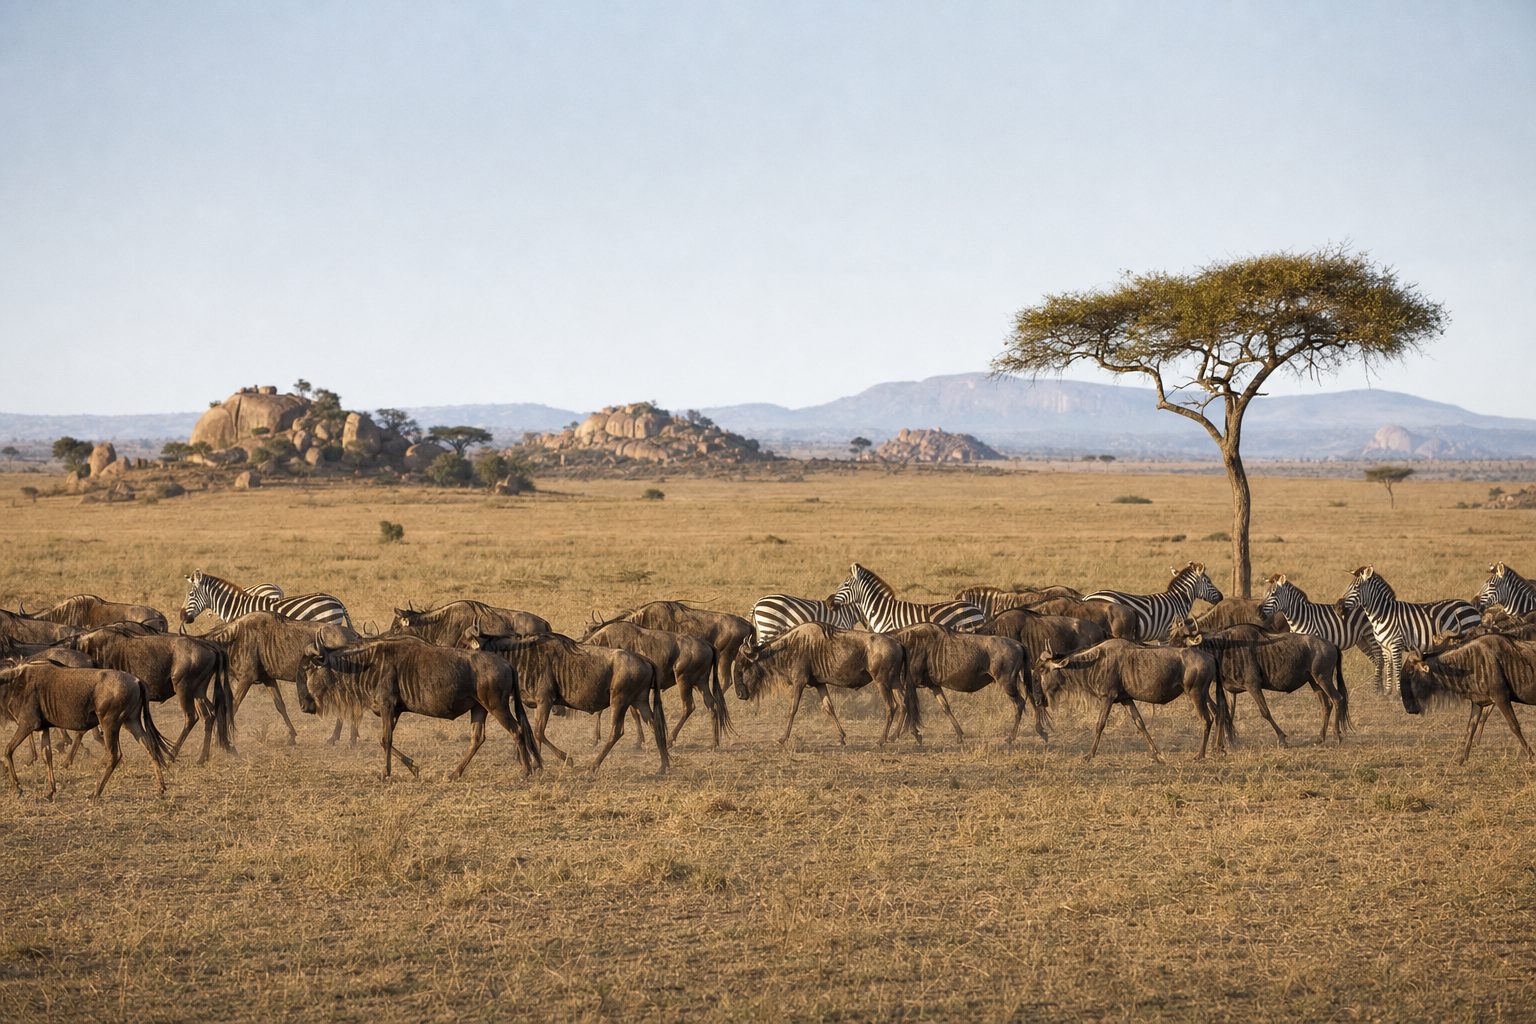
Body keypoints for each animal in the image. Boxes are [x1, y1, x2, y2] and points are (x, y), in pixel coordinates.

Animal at [1083, 561, 1224, 642]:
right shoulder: (1168, 633)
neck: (1178, 600)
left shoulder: (1162, 636)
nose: (1222, 597)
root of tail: (1086, 598)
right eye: (1208, 581)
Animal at [1259, 573, 1387, 692]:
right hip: (1362, 640)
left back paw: (1378, 690)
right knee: (1375, 659)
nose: (1259, 613)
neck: (1301, 617)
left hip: (1370, 634)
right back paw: (1379, 687)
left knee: (1379, 658)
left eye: (1273, 594)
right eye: (1265, 594)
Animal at [1338, 565, 1481, 695]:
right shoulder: (1385, 647)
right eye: (1348, 587)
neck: (1383, 614)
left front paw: (1399, 693)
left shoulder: (1396, 644)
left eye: (1356, 588)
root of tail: (1471, 607)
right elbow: (1389, 669)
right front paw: (1387, 693)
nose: (1338, 607)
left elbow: (1397, 668)